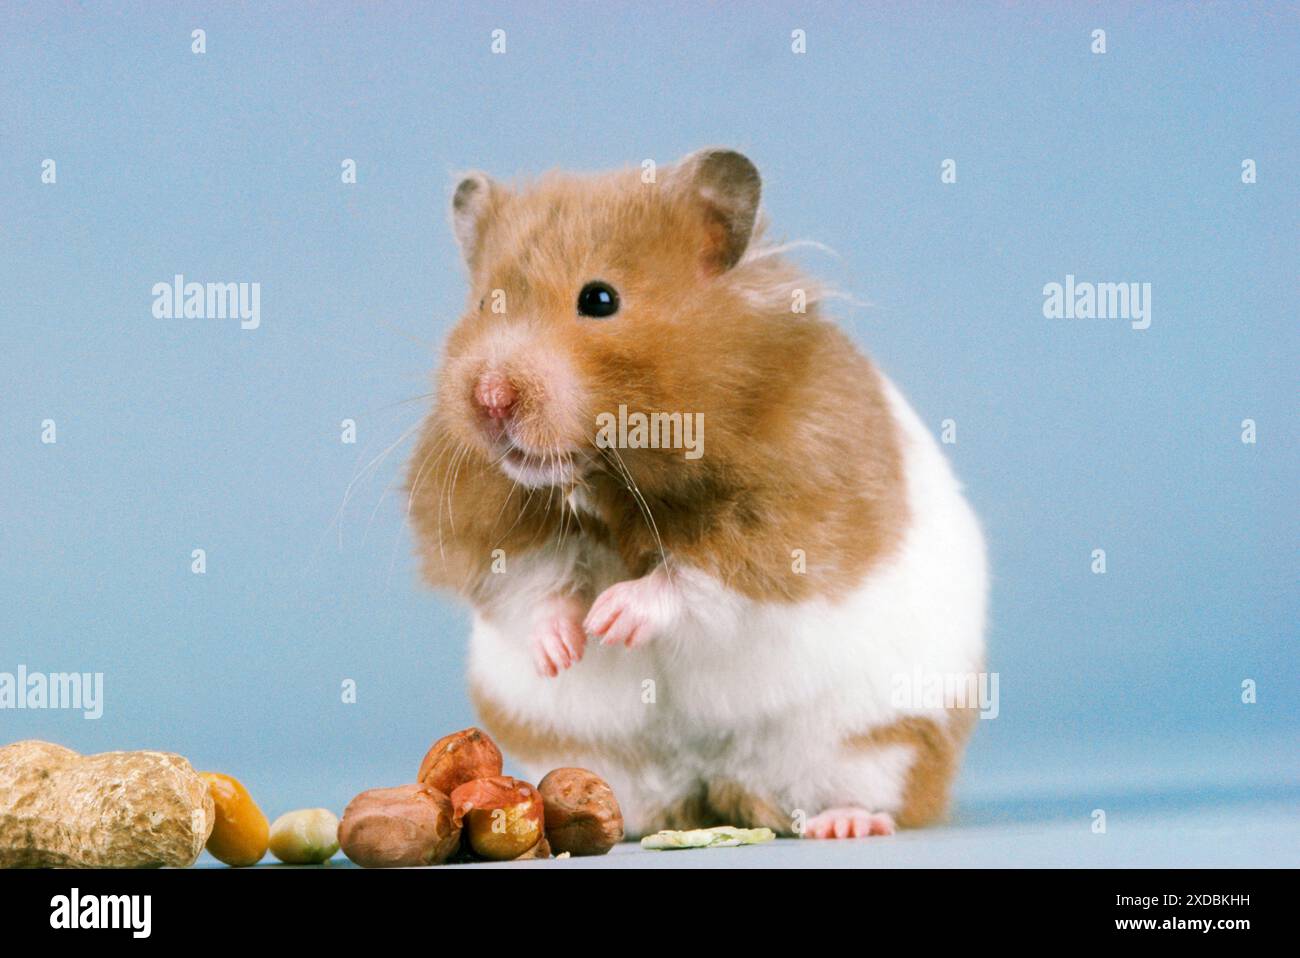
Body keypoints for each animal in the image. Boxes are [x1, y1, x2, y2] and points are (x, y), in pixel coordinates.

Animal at [407, 148, 987, 839]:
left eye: (599, 299)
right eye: (478, 305)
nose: (490, 399)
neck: (606, 474)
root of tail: (715, 784)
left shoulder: (795, 514)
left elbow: (701, 576)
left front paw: (612, 618)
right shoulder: (485, 525)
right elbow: (529, 579)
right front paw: (563, 648)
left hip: (875, 745)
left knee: (867, 793)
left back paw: (844, 825)